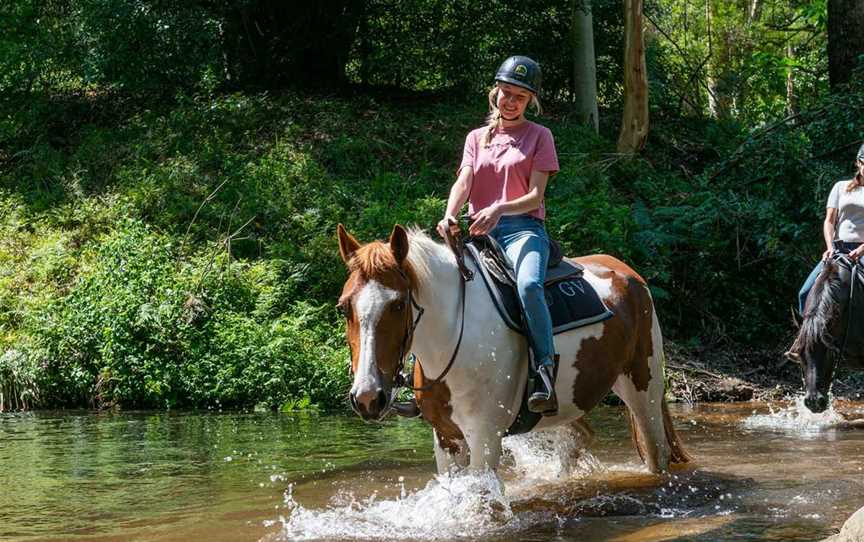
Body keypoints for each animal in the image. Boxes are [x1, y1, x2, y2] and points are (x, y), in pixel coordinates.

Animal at [336, 225, 688, 476]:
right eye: (344, 307)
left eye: (397, 304)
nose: (367, 397)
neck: (453, 337)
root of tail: (628, 273)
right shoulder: (446, 438)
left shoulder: (484, 436)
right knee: (579, 438)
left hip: (644, 389)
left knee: (656, 454)